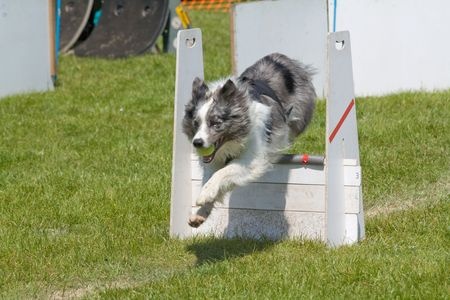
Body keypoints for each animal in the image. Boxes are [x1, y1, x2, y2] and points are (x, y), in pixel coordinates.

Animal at [181, 53, 314, 227]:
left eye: (215, 123)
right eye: (196, 123)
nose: (197, 143)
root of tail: (278, 57)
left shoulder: (252, 160)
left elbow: (224, 171)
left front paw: (206, 194)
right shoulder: (213, 160)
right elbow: (210, 177)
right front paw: (200, 213)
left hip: (299, 116)